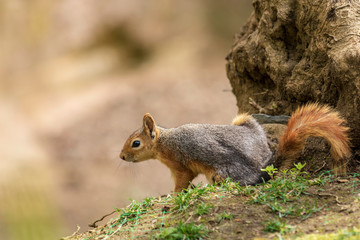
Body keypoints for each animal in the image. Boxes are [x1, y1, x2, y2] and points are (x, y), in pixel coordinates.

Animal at [119, 103, 350, 191]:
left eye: (136, 143)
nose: (121, 156)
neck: (164, 142)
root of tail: (263, 169)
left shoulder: (180, 164)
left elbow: (182, 182)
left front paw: (174, 194)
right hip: (243, 122)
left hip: (219, 175)